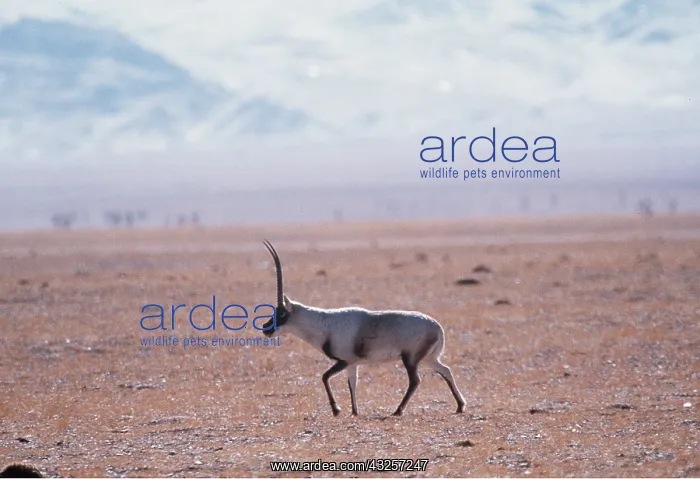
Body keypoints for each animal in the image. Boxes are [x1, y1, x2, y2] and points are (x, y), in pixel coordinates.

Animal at [260, 240, 466, 417]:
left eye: (281, 313)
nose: (266, 328)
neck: (324, 323)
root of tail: (437, 328)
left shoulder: (344, 360)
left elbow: (325, 377)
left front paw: (336, 410)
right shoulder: (352, 363)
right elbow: (352, 383)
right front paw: (354, 411)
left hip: (411, 359)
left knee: (415, 381)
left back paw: (398, 411)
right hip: (428, 359)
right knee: (445, 370)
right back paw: (459, 406)